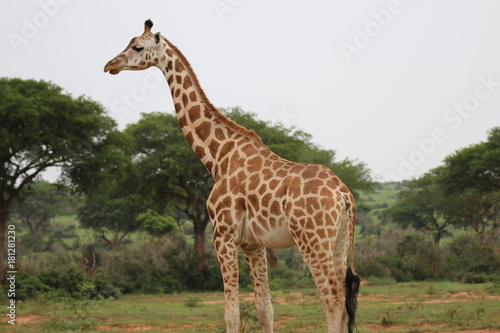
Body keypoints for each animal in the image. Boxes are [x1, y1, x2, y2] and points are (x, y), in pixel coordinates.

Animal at [104, 19, 360, 330]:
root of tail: (343, 194)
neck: (217, 157)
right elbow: (264, 308)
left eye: (137, 47)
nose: (110, 65)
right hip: (339, 242)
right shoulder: (254, 244)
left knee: (332, 299)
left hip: (312, 240)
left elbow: (231, 310)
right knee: (344, 299)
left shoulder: (223, 236)